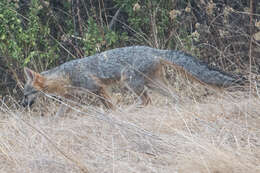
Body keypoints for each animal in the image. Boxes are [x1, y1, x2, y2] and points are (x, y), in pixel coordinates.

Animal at [21, 45, 244, 109]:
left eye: (26, 94)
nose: (22, 105)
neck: (64, 75)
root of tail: (154, 50)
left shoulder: (97, 88)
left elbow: (110, 106)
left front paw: (115, 114)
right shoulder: (73, 98)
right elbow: (59, 113)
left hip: (130, 82)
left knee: (146, 100)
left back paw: (131, 110)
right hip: (153, 84)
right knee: (175, 96)